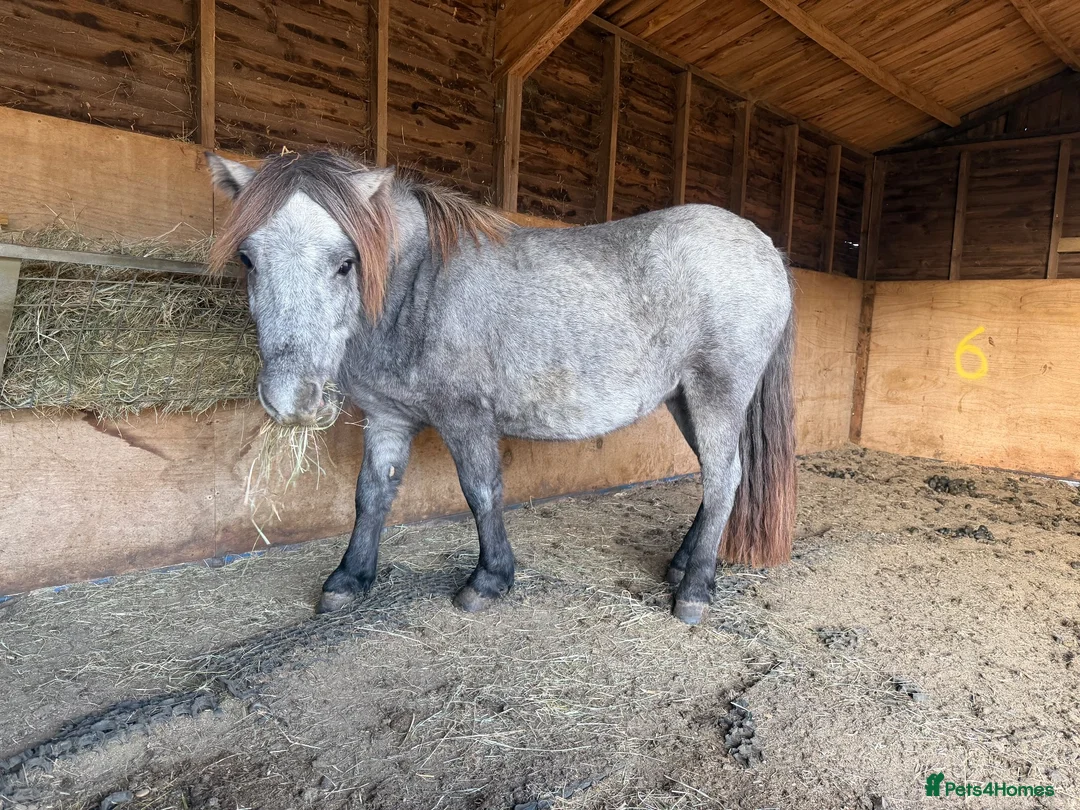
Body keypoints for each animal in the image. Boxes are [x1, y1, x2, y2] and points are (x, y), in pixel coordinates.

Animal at [206, 151, 796, 625]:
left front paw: (489, 580)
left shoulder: (465, 418)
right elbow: (372, 494)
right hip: (683, 401)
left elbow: (481, 491)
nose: (291, 400)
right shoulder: (388, 417)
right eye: (248, 259)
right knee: (715, 478)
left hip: (717, 394)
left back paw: (694, 591)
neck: (419, 287)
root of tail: (766, 248)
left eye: (345, 263)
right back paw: (680, 566)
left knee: (723, 479)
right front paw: (350, 579)